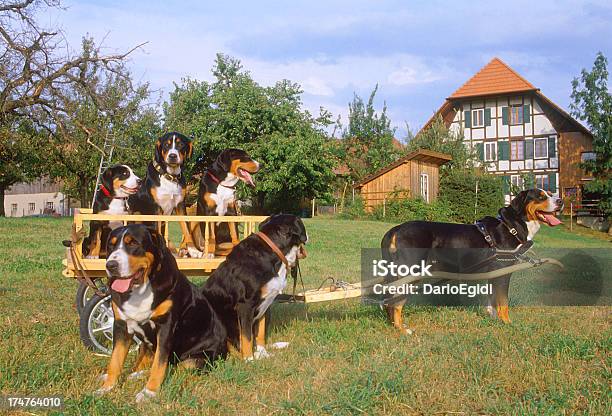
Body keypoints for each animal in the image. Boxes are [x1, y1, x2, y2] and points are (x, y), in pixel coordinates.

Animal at [95, 224, 227, 404]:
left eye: (133, 243)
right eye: (111, 245)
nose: (111, 265)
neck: (141, 288)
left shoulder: (165, 327)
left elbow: (159, 364)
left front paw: (149, 392)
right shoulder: (121, 326)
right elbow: (115, 361)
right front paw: (107, 388)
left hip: (197, 359)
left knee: (177, 368)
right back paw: (134, 374)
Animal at [204, 214, 308, 360]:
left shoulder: (265, 305)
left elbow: (260, 334)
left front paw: (262, 354)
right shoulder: (245, 306)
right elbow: (247, 337)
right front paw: (249, 359)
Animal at [382, 188, 564, 332]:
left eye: (550, 193)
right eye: (540, 196)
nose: (561, 201)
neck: (511, 226)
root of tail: (397, 228)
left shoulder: (494, 274)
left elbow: (493, 300)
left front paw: (494, 319)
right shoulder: (503, 273)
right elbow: (503, 302)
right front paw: (507, 324)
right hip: (410, 272)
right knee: (395, 302)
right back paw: (402, 330)